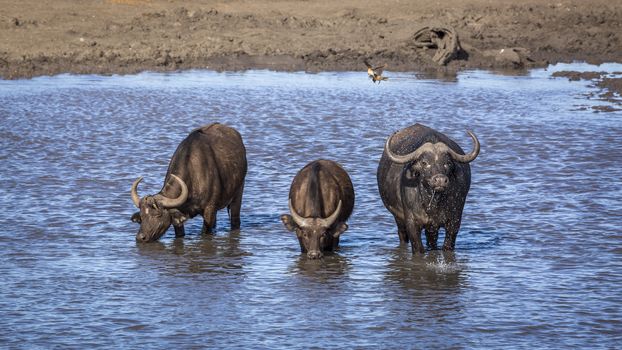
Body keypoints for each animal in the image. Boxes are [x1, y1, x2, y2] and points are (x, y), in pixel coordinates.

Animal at [376, 124, 482, 253]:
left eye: (447, 163)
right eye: (424, 163)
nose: (440, 180)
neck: (433, 203)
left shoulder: (454, 221)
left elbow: (447, 246)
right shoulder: (411, 223)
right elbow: (418, 248)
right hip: (398, 219)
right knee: (402, 235)